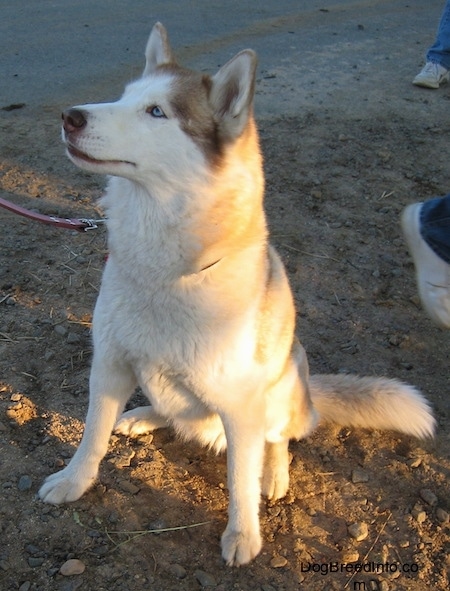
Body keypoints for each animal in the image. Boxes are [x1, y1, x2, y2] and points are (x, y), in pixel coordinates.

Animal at [39, 23, 436, 568]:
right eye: (122, 97)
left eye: (157, 112)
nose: (70, 116)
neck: (167, 270)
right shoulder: (110, 364)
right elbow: (91, 435)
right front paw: (75, 481)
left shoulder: (241, 407)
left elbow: (239, 480)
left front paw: (244, 533)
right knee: (174, 412)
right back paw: (141, 416)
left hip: (286, 378)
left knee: (278, 440)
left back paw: (275, 473)